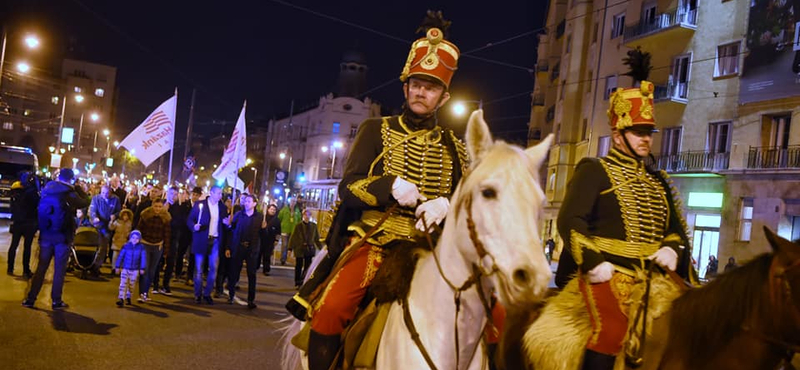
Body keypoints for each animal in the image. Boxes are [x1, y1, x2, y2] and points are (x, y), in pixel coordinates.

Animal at [280, 110, 552, 370]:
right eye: (488, 192)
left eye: (541, 201)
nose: (534, 277)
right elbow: (352, 182)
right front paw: (405, 192)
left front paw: (433, 209)